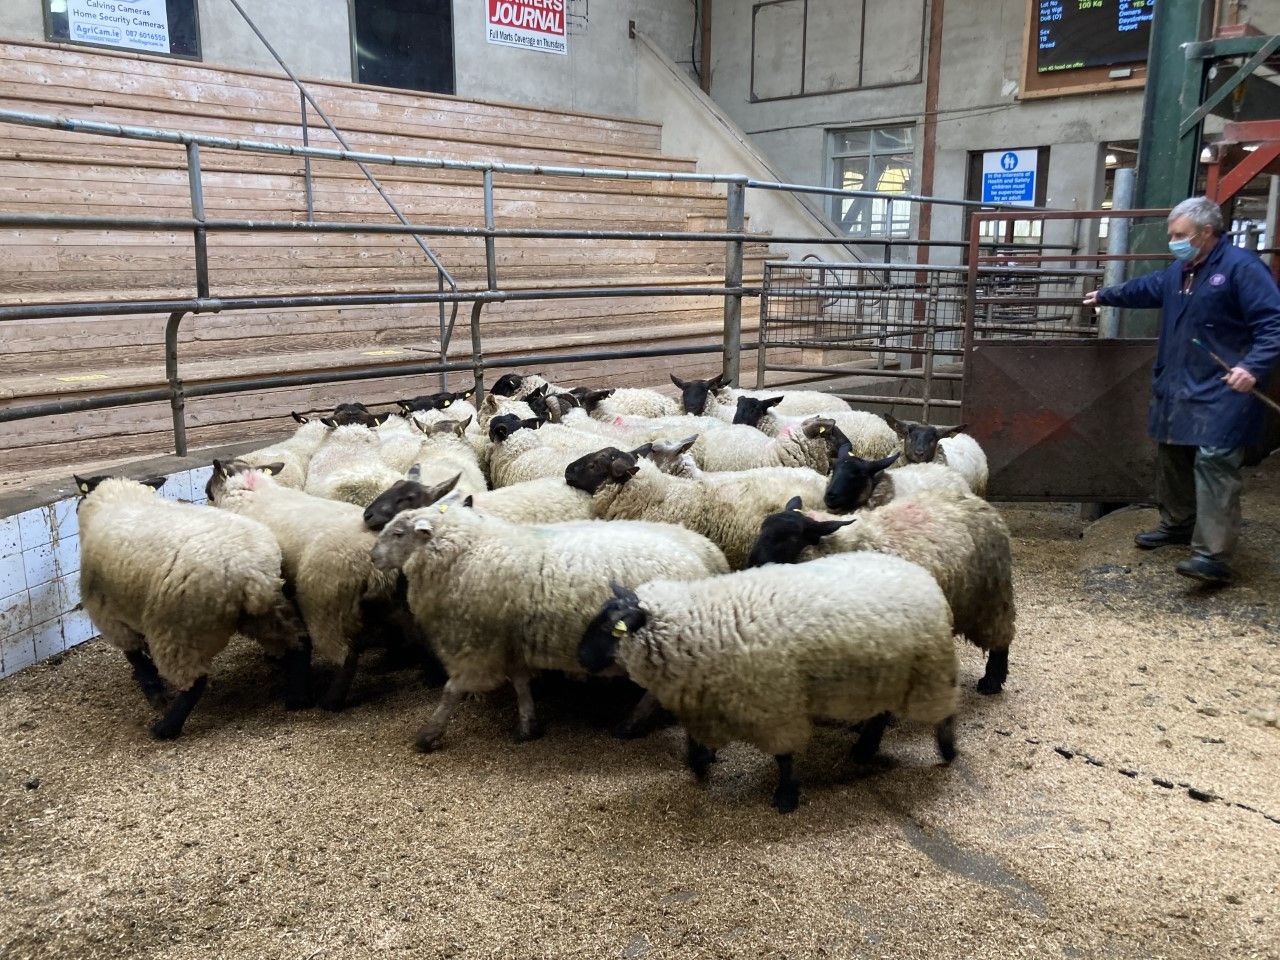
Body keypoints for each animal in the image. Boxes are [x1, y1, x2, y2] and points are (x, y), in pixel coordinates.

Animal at [75, 474, 307, 739]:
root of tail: (249, 570)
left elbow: (134, 656)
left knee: (196, 682)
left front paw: (152, 689)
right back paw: (297, 696)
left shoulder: (110, 617)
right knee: (298, 642)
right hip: (268, 611)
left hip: (180, 630)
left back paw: (166, 728)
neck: (119, 498)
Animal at [207, 459, 410, 710]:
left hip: (324, 604)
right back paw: (397, 660)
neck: (250, 491)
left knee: (346, 655)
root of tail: (375, 565)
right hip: (393, 598)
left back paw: (331, 701)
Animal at [370, 504, 730, 750]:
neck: (466, 552)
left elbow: (451, 691)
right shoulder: (509, 641)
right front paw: (528, 725)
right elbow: (520, 683)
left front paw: (428, 735)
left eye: (398, 534)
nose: (372, 557)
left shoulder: (477, 647)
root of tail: (705, 560)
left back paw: (630, 725)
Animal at [577, 552, 958, 813]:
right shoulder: (705, 696)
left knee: (945, 711)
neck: (702, 622)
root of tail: (921, 573)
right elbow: (695, 739)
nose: (580, 658)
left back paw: (948, 750)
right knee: (881, 713)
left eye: (609, 627)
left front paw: (786, 797)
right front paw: (700, 763)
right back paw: (865, 749)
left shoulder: (773, 704)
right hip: (883, 678)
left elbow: (784, 756)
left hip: (929, 672)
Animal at [747, 493, 1015, 694]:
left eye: (791, 538)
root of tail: (980, 502)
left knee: (1001, 638)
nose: (751, 565)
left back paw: (992, 681)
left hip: (990, 596)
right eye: (761, 529)